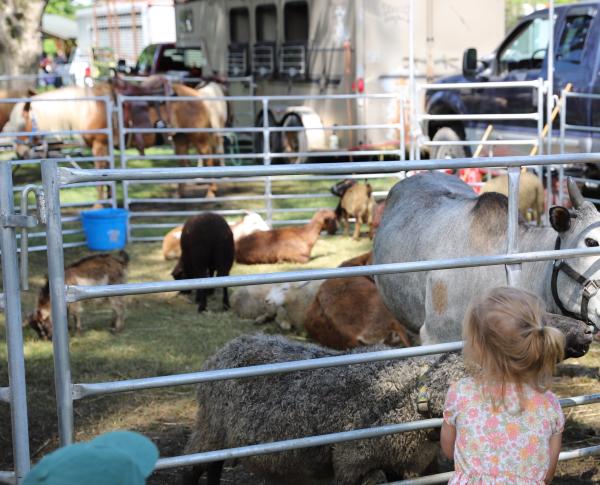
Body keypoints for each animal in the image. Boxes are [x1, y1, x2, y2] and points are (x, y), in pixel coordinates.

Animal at [182, 316, 592, 482]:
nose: (588, 330)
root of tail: (225, 349)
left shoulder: (407, 464)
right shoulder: (353, 464)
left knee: (213, 467)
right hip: (210, 429)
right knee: (194, 466)